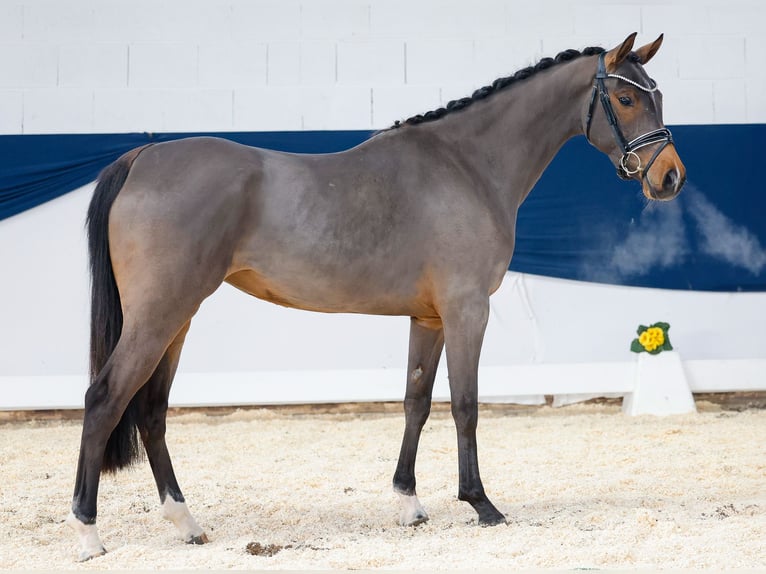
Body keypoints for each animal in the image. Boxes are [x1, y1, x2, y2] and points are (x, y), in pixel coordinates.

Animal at [67, 32, 688, 564]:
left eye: (658, 96)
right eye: (627, 98)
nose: (670, 177)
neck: (467, 166)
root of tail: (143, 158)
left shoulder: (428, 317)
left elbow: (416, 402)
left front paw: (409, 503)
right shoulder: (467, 310)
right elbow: (466, 404)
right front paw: (481, 504)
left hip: (177, 319)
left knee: (151, 410)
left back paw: (186, 523)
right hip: (158, 317)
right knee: (105, 400)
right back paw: (88, 534)